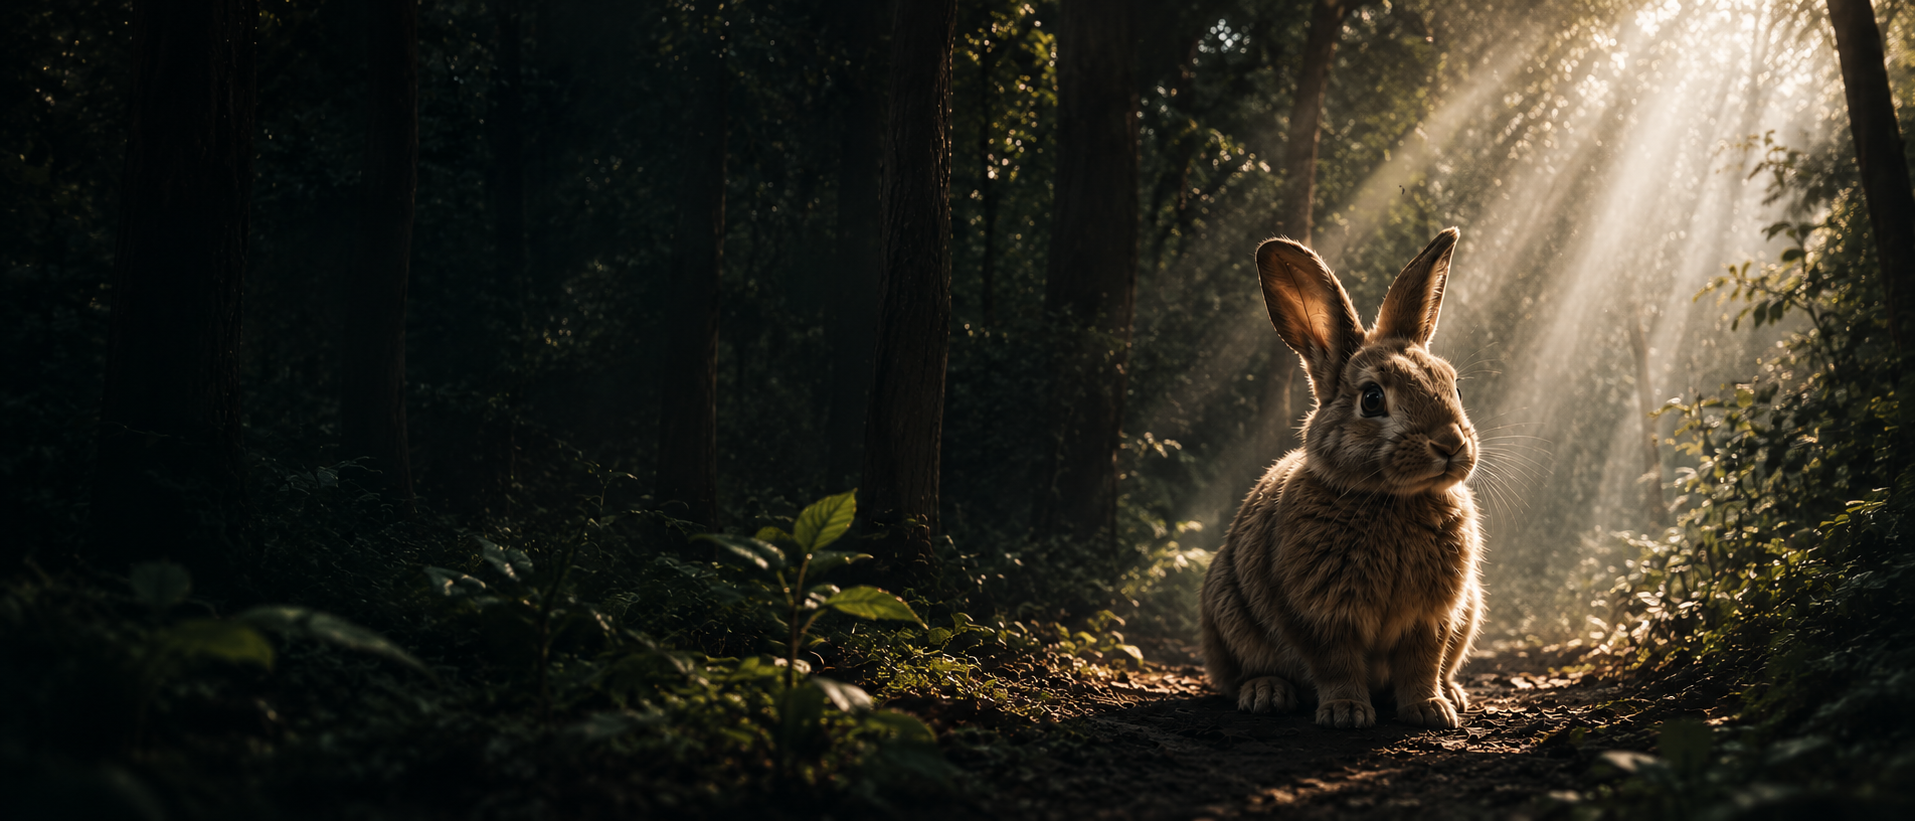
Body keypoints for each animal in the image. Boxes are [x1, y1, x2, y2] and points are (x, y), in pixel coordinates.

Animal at [1198, 228, 1484, 729]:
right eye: (1372, 399)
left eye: (1455, 386)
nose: (1450, 444)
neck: (1390, 498)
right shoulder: (1321, 614)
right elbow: (1336, 663)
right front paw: (1346, 712)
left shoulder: (1432, 618)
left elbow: (1422, 663)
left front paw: (1430, 710)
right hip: (1226, 616)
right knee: (1238, 675)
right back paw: (1267, 693)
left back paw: (1453, 693)